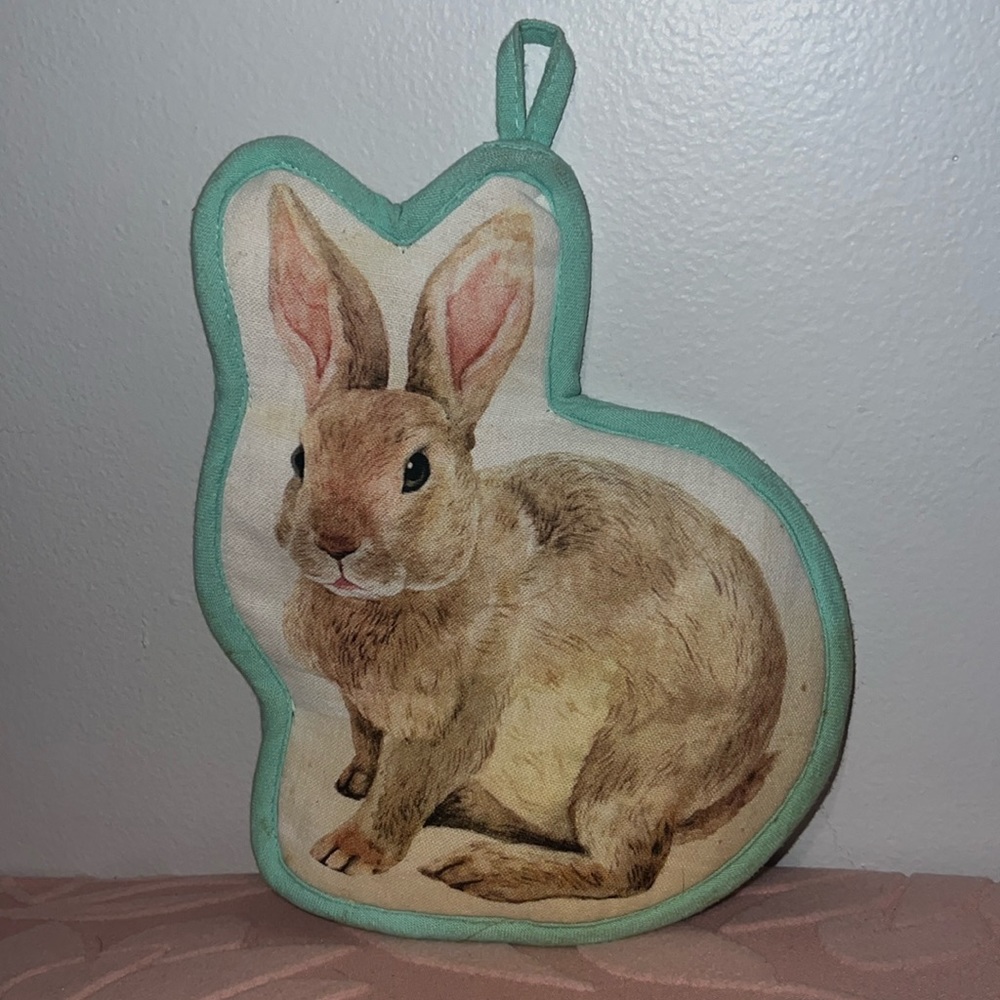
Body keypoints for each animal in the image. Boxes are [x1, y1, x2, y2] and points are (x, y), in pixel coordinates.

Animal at [268, 182, 787, 903]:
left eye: (415, 471)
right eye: (299, 460)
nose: (336, 543)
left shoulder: (460, 712)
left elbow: (406, 783)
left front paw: (352, 851)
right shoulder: (363, 710)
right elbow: (370, 750)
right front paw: (354, 785)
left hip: (626, 769)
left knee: (626, 871)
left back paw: (482, 870)